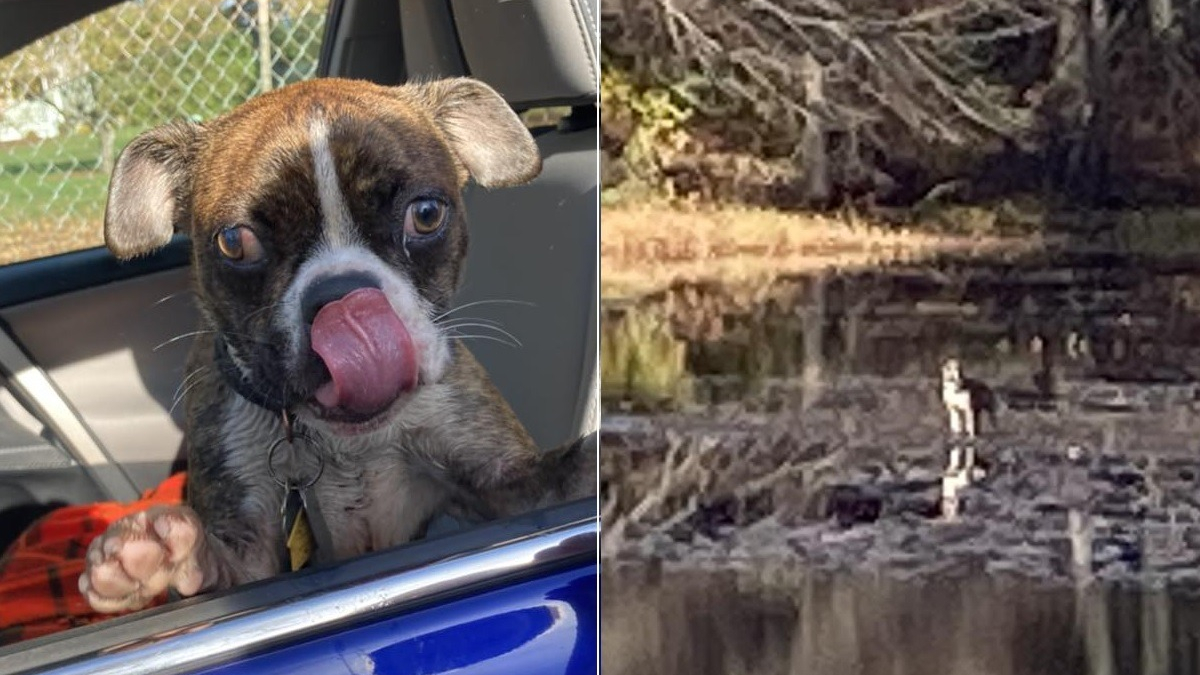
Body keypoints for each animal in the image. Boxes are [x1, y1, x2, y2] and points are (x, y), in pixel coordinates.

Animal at [79, 77, 595, 610]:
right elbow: (221, 568)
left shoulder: (504, 483)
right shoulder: (251, 555)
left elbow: (557, 477)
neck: (348, 445)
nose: (345, 298)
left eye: (426, 214)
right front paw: (157, 557)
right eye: (234, 242)